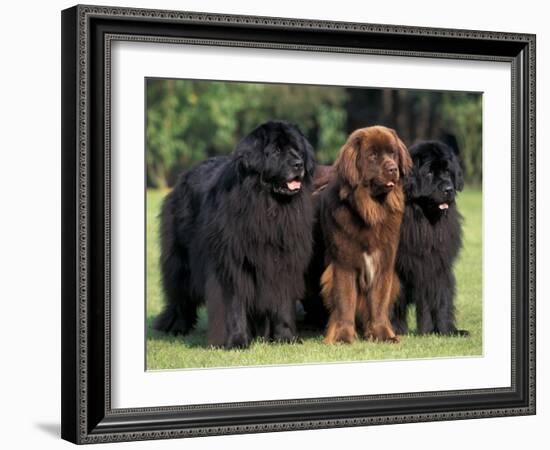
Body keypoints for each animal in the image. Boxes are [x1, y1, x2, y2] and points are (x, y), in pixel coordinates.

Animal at [155, 121, 316, 350]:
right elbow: (234, 304)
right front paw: (237, 341)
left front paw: (286, 338)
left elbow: (283, 303)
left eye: (298, 150)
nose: (298, 164)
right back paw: (176, 326)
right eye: (277, 151)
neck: (268, 206)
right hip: (180, 261)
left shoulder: (284, 262)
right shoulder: (231, 264)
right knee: (179, 294)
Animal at [316, 126, 412, 344]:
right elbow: (345, 302)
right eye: (373, 155)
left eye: (392, 153)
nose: (393, 169)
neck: (370, 212)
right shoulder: (343, 264)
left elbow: (378, 303)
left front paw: (383, 335)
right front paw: (343, 337)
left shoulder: (383, 263)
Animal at [392, 140, 470, 334]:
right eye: (429, 172)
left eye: (447, 172)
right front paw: (393, 330)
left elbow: (441, 298)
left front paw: (444, 331)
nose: (449, 189)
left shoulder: (437, 265)